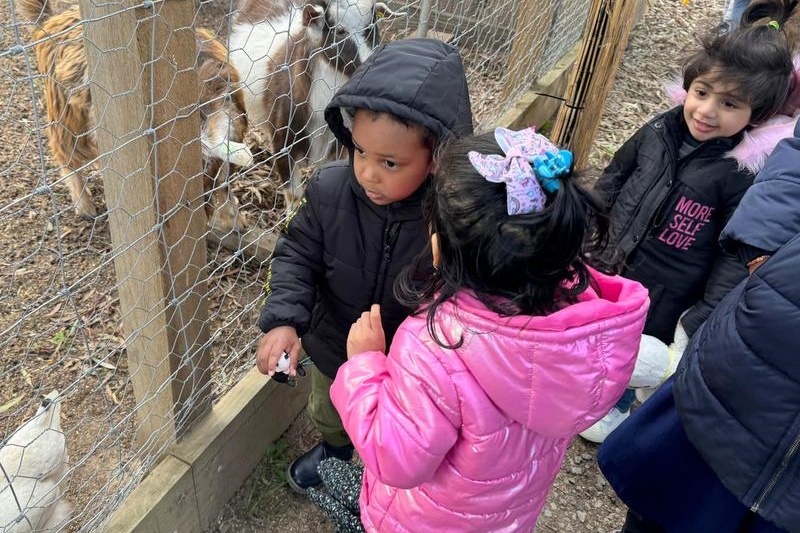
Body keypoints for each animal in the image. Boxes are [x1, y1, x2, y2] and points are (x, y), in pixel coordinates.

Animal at [16, 0, 253, 229]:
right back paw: (85, 207)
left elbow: (223, 179)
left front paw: (234, 220)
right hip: (65, 114)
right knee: (67, 156)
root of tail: (51, 20)